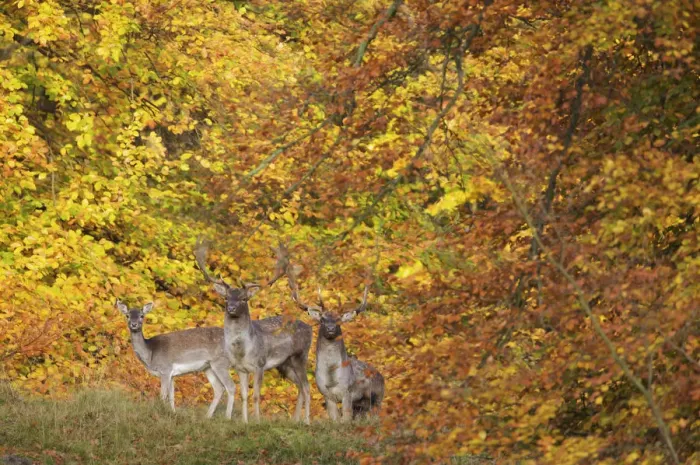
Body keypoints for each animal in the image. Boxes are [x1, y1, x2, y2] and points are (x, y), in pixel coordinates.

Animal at [194, 238, 313, 424]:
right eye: (226, 297)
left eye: (244, 298)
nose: (232, 308)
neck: (242, 351)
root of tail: (310, 327)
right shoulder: (240, 368)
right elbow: (244, 395)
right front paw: (245, 422)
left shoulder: (260, 364)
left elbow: (256, 395)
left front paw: (256, 421)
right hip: (285, 365)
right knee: (300, 386)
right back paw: (296, 420)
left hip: (300, 356)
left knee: (307, 387)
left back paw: (306, 421)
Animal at [285, 265, 385, 422]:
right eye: (322, 319)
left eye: (338, 320)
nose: (331, 329)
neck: (332, 378)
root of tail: (381, 376)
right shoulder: (326, 394)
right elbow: (335, 419)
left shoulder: (347, 392)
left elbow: (345, 419)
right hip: (361, 406)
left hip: (378, 397)